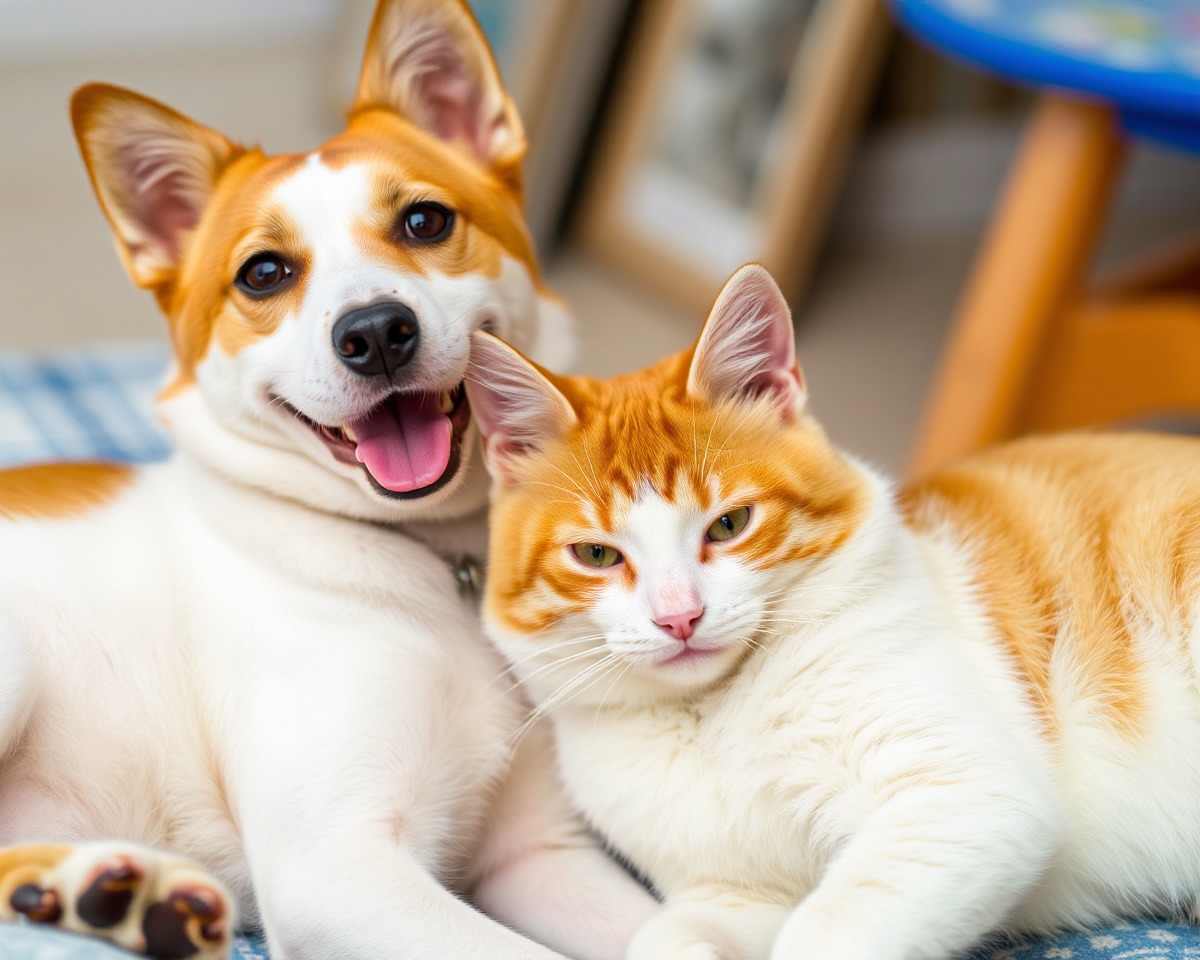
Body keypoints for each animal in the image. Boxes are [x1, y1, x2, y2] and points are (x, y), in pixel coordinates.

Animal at [0, 1, 657, 960]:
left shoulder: (536, 855)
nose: (376, 332)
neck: (432, 564)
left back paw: (103, 895)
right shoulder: (335, 866)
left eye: (425, 222)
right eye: (264, 272)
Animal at [460, 262, 1200, 960]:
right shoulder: (739, 895)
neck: (708, 719)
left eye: (729, 524)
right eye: (595, 553)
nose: (679, 617)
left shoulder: (963, 798)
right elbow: (662, 934)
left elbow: (826, 931)